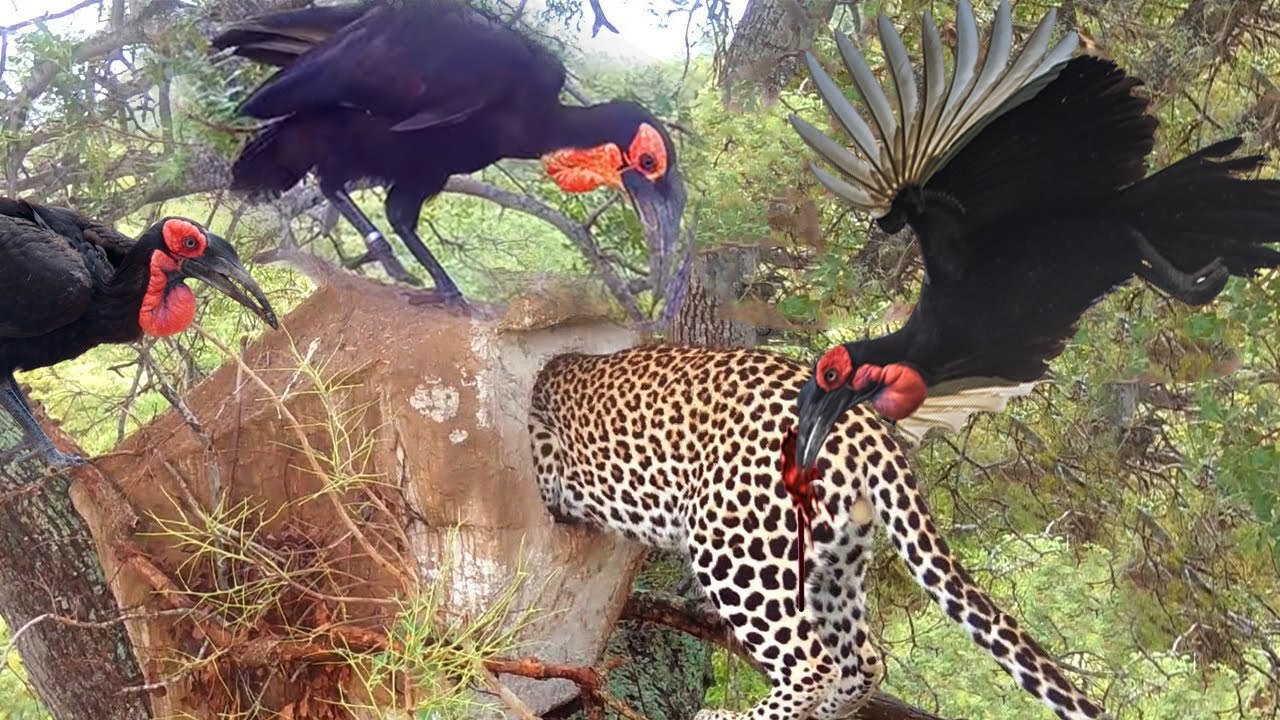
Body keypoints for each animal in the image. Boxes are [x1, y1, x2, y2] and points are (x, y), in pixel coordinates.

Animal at [528, 344, 1109, 720]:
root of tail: (866, 427)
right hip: (833, 561)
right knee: (863, 662)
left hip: (734, 547)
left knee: (812, 663)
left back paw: (731, 717)